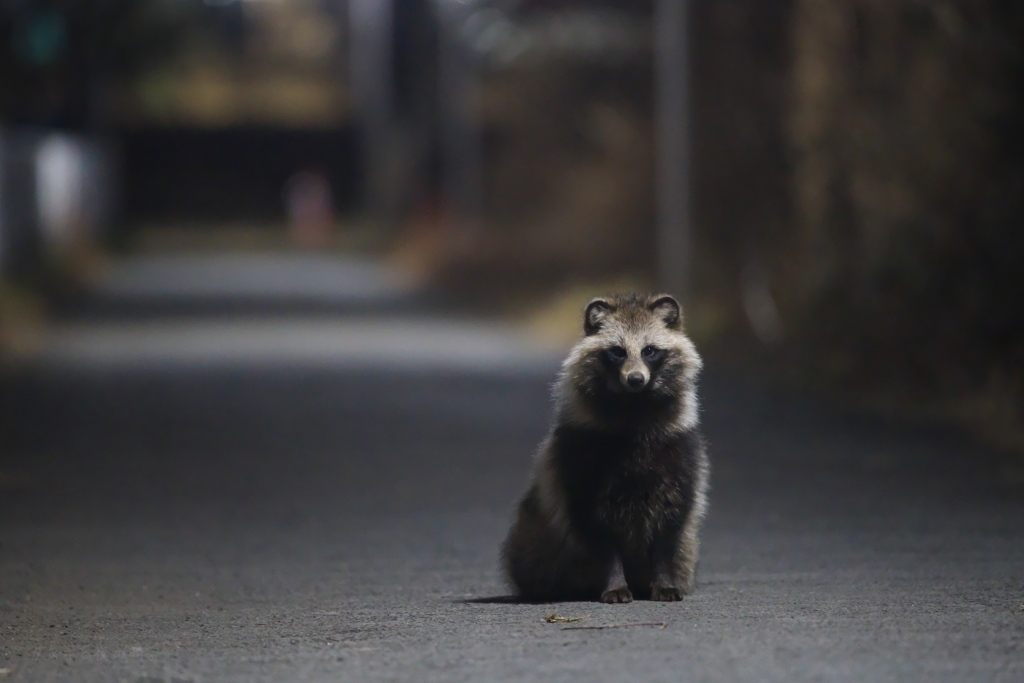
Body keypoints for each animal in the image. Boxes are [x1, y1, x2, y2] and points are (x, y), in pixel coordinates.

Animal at [501, 294, 708, 602]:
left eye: (649, 351)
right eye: (617, 352)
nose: (635, 379)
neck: (634, 403)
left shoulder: (679, 450)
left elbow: (669, 528)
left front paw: (664, 581)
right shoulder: (580, 455)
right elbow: (599, 536)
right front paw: (614, 582)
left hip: (688, 549)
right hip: (535, 534)